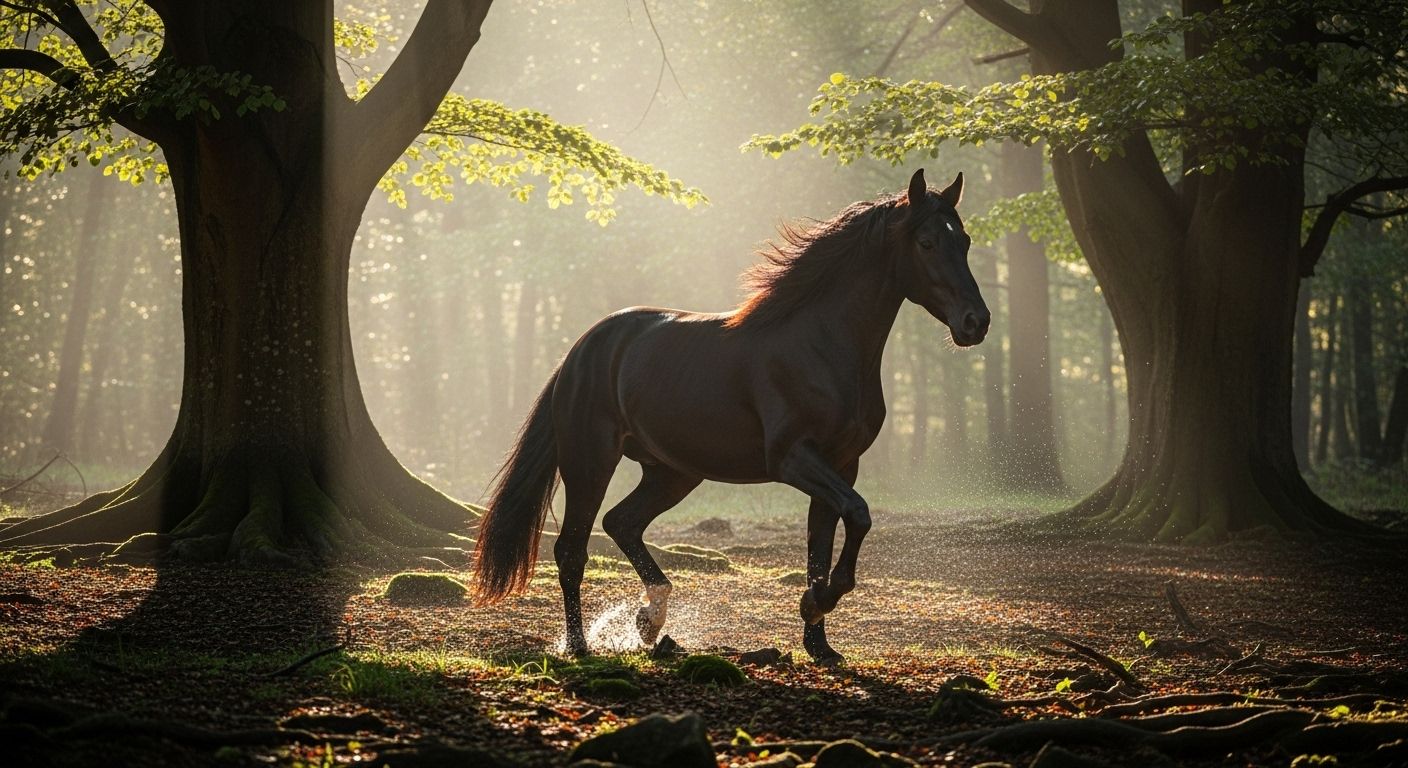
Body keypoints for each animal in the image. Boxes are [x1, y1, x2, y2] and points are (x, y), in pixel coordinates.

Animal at [472, 168, 989, 663]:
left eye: (964, 241)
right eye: (926, 242)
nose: (976, 322)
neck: (822, 346)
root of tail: (579, 352)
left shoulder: (841, 465)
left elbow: (821, 548)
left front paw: (820, 645)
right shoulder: (794, 459)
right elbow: (858, 517)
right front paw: (816, 604)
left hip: (673, 473)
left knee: (622, 523)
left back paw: (650, 619)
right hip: (590, 463)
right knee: (572, 550)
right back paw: (581, 645)